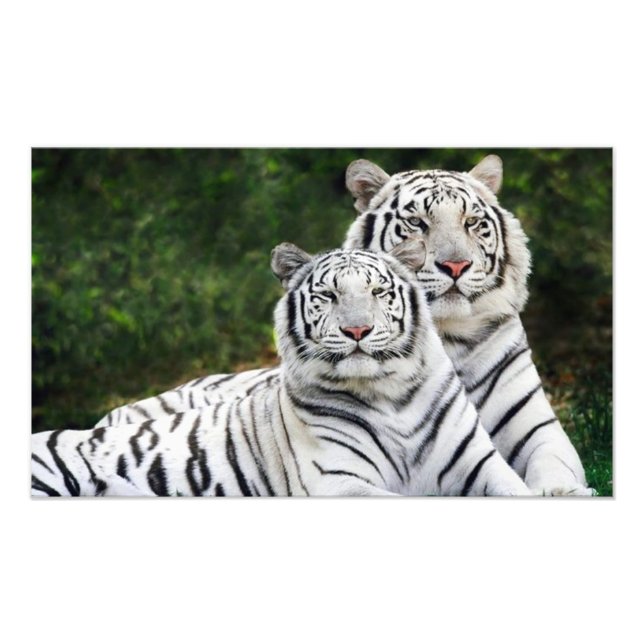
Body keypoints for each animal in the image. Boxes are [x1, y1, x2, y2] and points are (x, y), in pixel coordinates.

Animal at [32, 240, 532, 496]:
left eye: (378, 292)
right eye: (329, 295)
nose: (357, 330)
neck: (389, 393)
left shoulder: (481, 465)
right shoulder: (340, 482)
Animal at [94, 155, 594, 496]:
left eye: (473, 223)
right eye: (417, 223)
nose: (455, 265)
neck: (447, 335)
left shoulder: (537, 429)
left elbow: (555, 465)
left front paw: (563, 491)